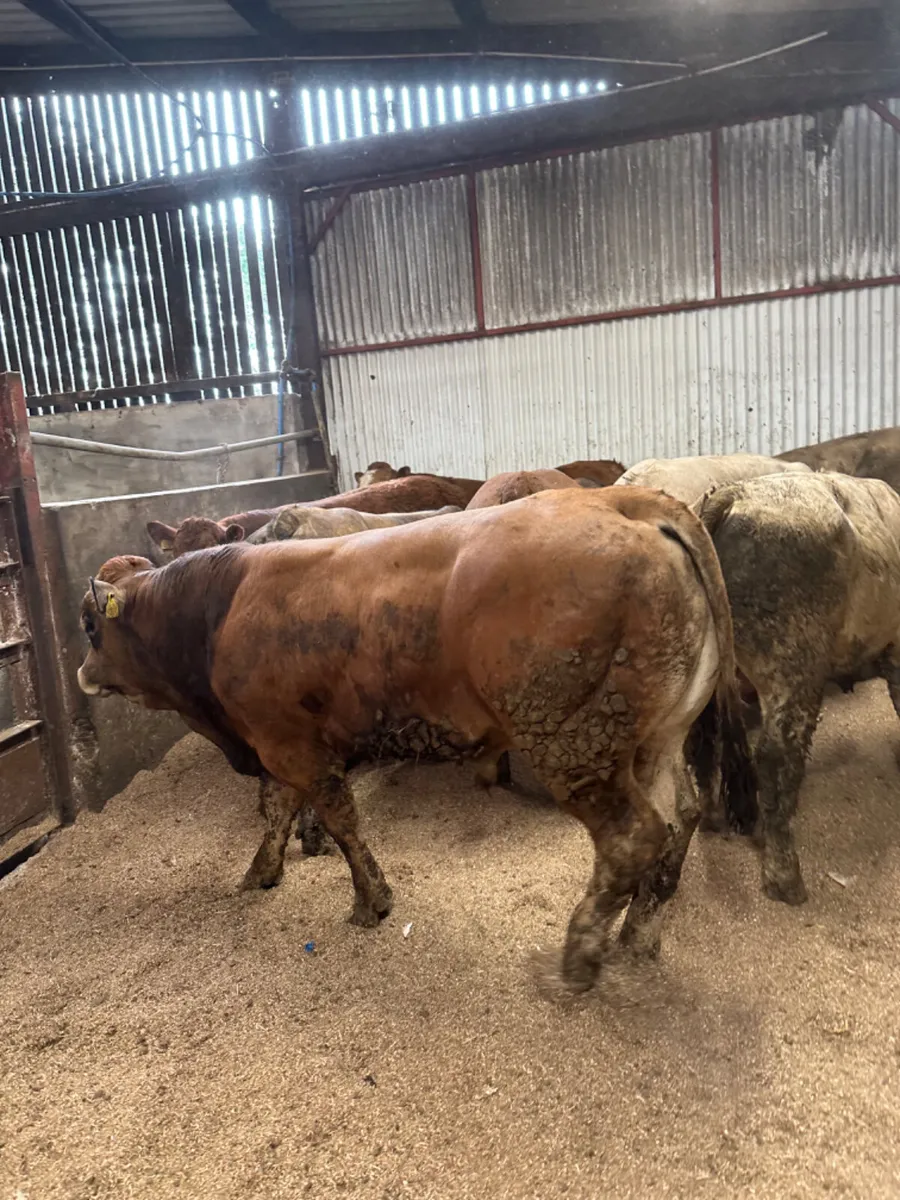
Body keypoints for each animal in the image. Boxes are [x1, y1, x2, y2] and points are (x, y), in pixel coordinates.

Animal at [77, 488, 750, 991]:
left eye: (87, 625)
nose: (82, 674)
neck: (221, 608)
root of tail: (622, 500)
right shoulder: (280, 742)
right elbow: (279, 809)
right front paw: (260, 872)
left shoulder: (290, 745)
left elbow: (338, 819)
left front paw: (371, 901)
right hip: (656, 738)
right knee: (679, 816)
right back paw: (638, 934)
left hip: (576, 742)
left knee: (631, 836)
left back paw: (578, 958)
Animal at [694, 471, 900, 906]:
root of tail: (734, 493)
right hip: (793, 671)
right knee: (776, 760)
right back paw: (785, 878)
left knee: (702, 745)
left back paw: (712, 818)